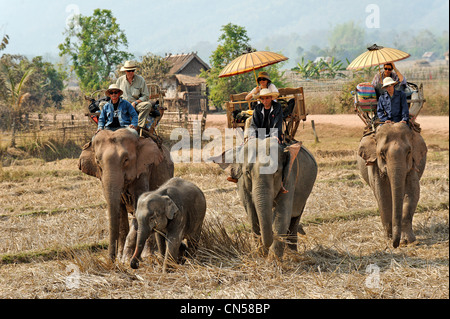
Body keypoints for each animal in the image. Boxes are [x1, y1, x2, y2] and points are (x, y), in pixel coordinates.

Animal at [78, 129, 173, 264]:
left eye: (126, 160)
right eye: (98, 162)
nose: (110, 261)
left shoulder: (143, 170)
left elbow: (140, 206)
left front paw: (126, 259)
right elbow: (119, 212)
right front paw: (120, 258)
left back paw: (149, 256)